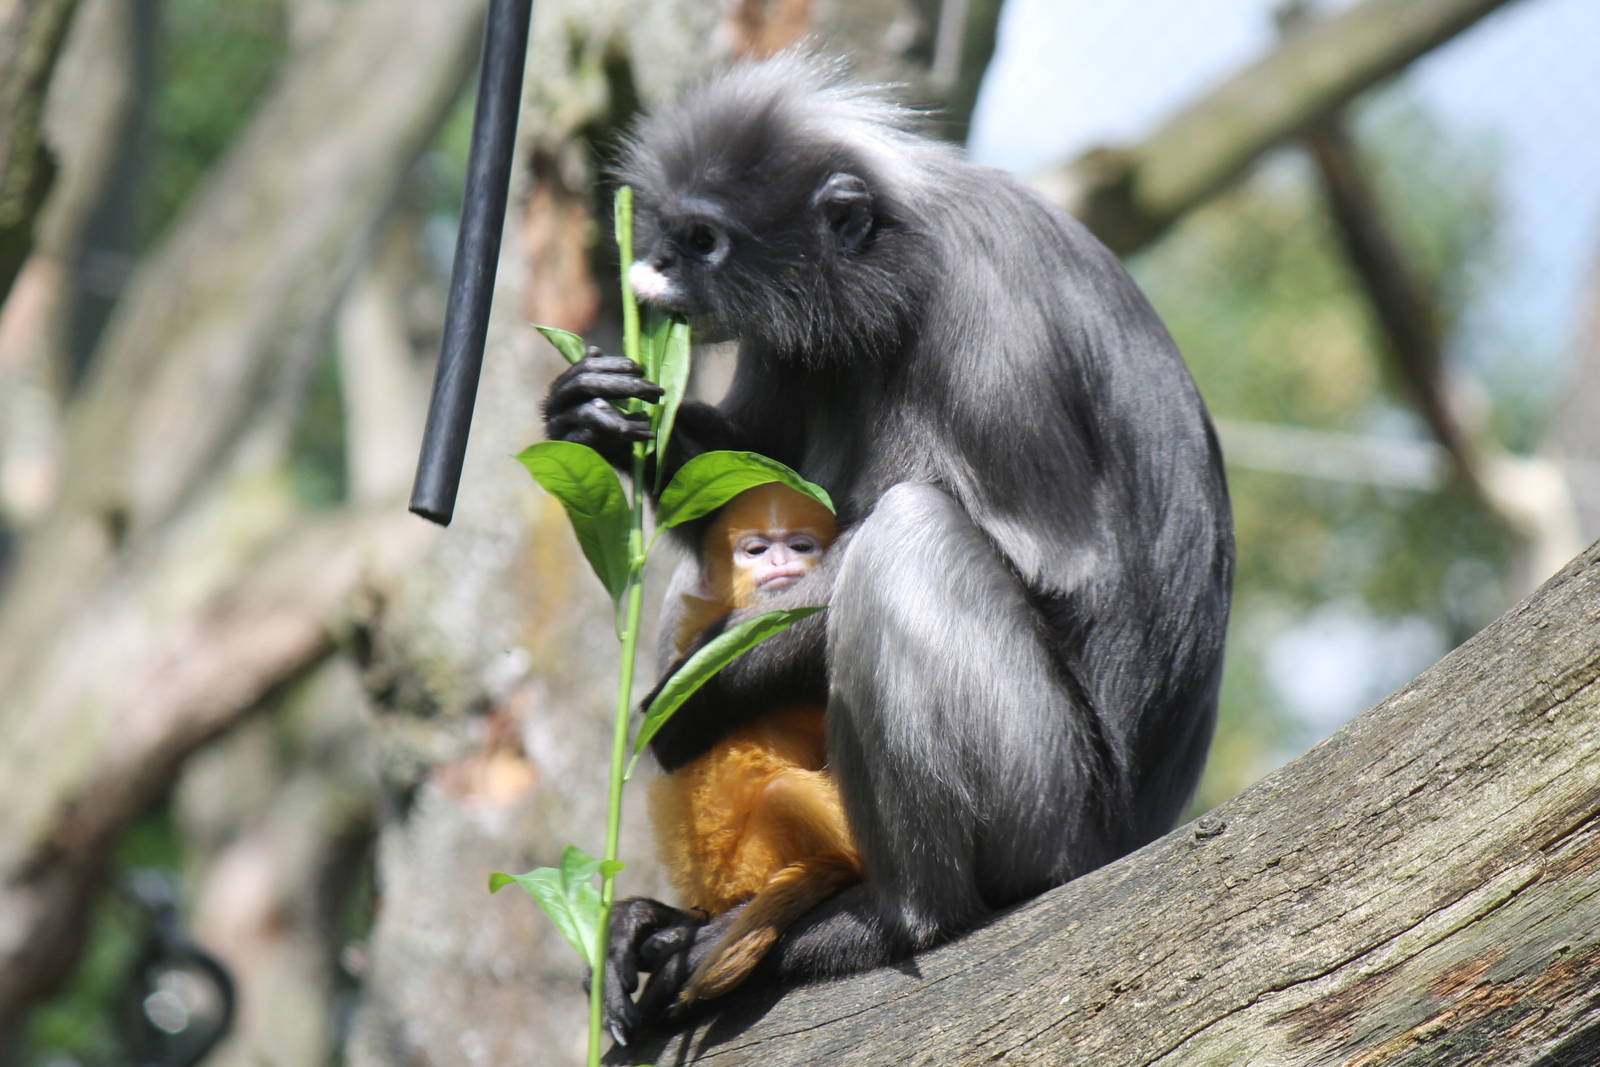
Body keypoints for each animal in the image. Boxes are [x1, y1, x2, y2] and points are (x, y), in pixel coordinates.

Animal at [648, 482, 860, 1001]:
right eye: (757, 550)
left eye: (800, 546)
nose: (780, 561)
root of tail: (719, 891)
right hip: (750, 861)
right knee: (785, 790)